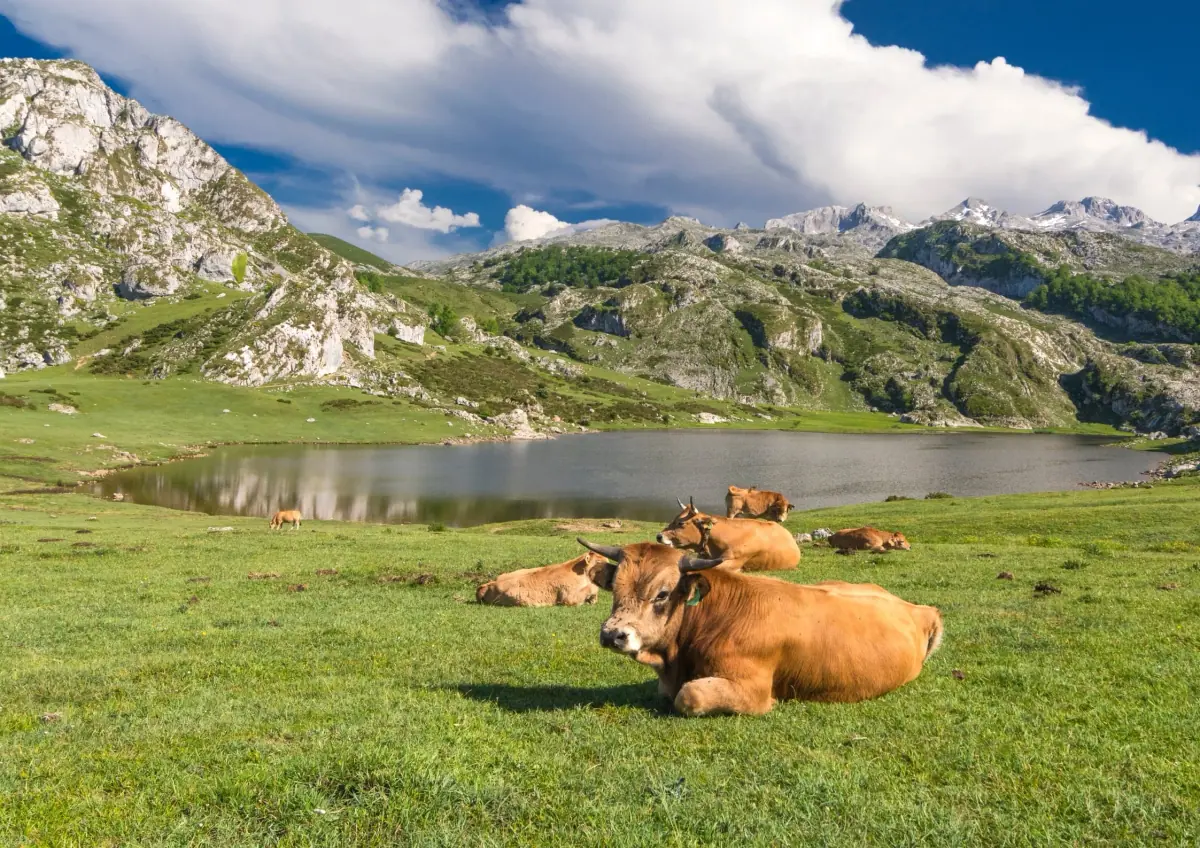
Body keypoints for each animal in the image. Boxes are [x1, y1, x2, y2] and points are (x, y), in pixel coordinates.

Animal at [576, 538, 943, 716]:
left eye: (662, 594)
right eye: (615, 588)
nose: (613, 634)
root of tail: (918, 609)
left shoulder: (751, 688)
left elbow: (689, 695)